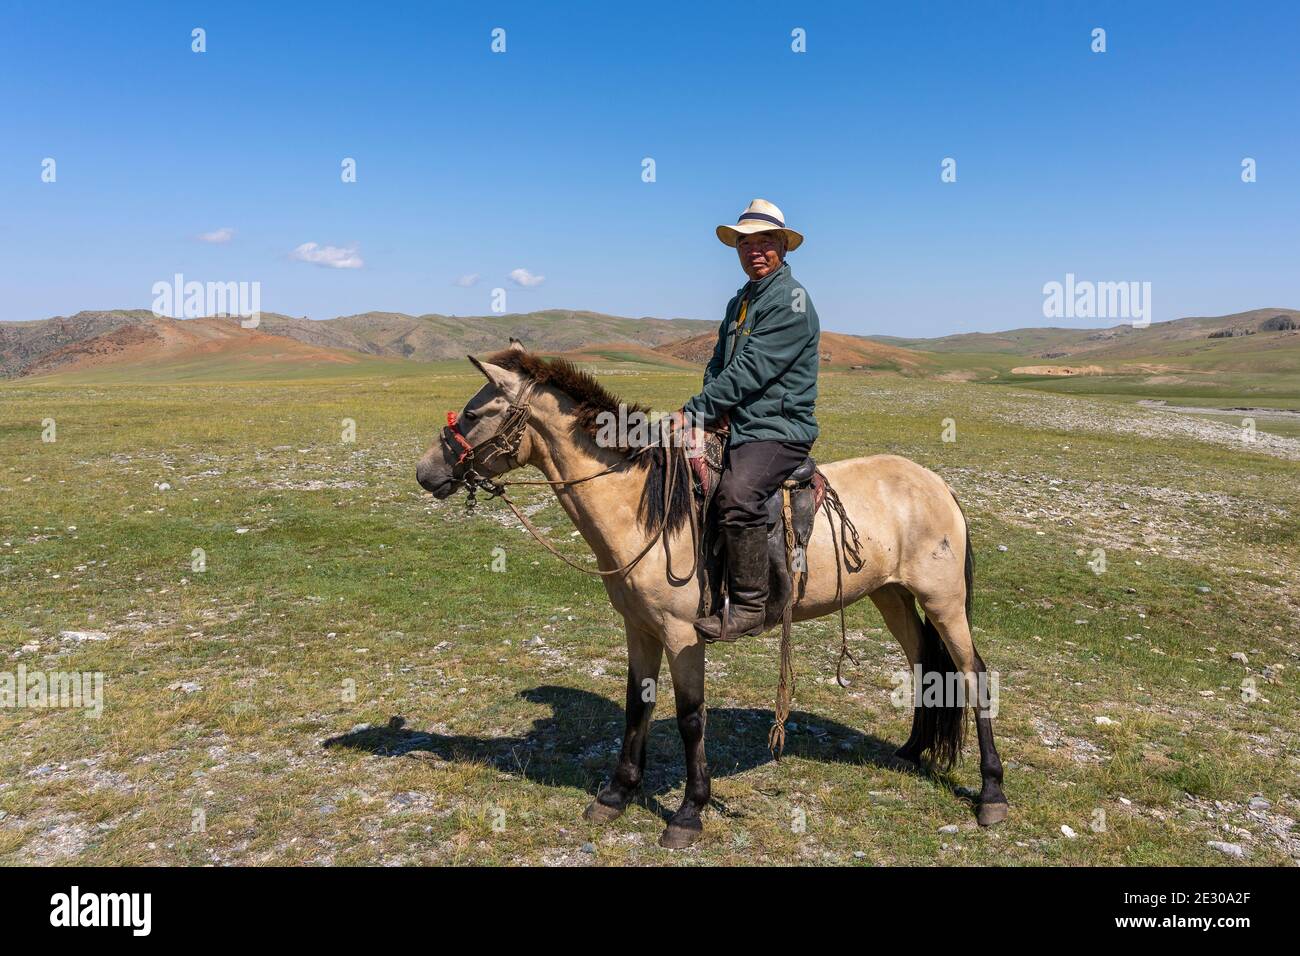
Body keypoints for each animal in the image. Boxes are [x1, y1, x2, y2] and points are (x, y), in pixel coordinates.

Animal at [416, 340, 1003, 848]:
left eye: (475, 413)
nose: (426, 473)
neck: (643, 507)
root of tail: (938, 484)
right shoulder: (639, 628)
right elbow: (637, 705)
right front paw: (615, 795)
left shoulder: (683, 634)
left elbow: (690, 717)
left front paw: (689, 813)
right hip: (892, 596)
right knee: (925, 666)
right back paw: (911, 752)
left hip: (943, 600)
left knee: (972, 673)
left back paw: (991, 795)